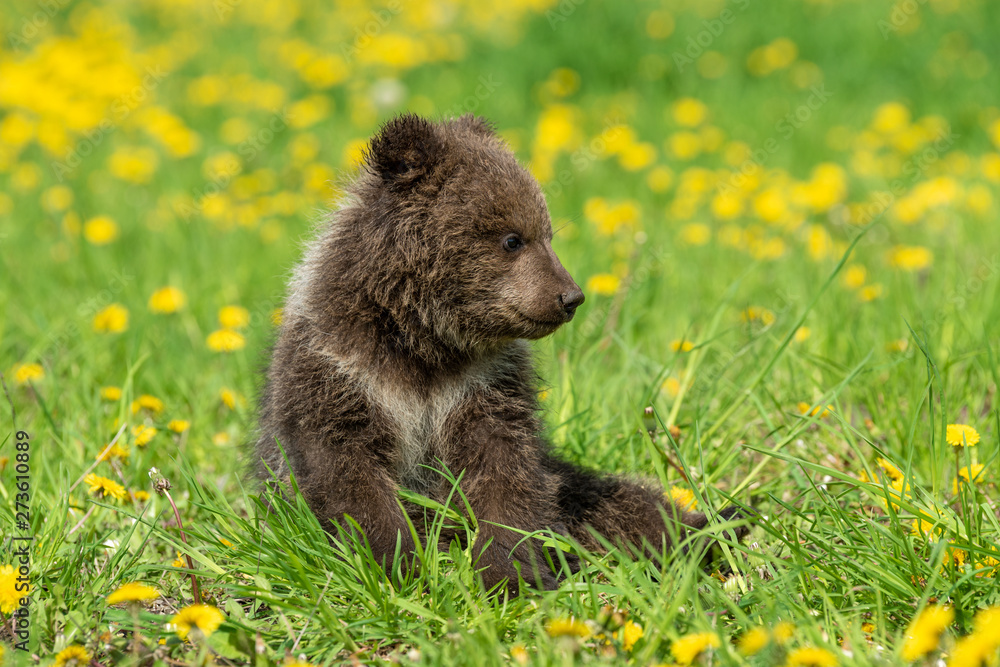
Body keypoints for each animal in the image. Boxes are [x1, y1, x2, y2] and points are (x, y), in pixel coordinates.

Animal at [255, 113, 747, 596]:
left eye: (547, 233)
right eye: (513, 238)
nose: (570, 297)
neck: (422, 340)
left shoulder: (484, 384)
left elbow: (506, 476)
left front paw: (509, 574)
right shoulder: (340, 371)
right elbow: (347, 476)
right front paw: (399, 565)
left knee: (616, 503)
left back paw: (717, 527)